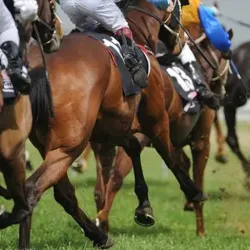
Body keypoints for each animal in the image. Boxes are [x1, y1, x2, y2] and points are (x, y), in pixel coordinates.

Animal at [17, 0, 207, 249]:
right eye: (181, 11)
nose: (182, 42)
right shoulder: (156, 118)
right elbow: (170, 156)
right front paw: (194, 192)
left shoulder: (112, 125)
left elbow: (132, 149)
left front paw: (144, 208)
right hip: (69, 146)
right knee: (32, 189)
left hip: (47, 144)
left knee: (64, 194)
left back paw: (99, 235)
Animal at [93, 20, 231, 235]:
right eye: (226, 56)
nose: (223, 90)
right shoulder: (200, 140)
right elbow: (197, 177)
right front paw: (201, 230)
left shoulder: (173, 140)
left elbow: (181, 163)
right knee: (116, 176)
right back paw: (105, 218)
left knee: (102, 183)